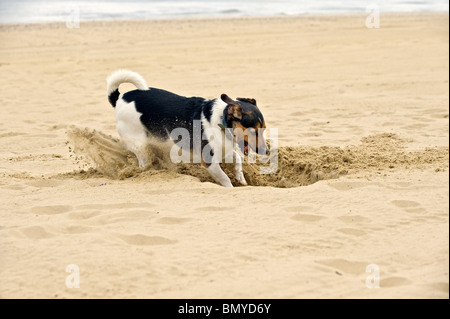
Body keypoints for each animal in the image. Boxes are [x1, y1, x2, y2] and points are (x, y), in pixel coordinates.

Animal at [106, 70, 268, 188]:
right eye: (253, 131)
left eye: (264, 129)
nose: (266, 151)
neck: (220, 121)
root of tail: (119, 98)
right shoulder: (209, 162)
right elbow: (225, 179)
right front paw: (232, 186)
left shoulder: (225, 151)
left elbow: (238, 159)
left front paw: (241, 178)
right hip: (140, 144)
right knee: (143, 162)